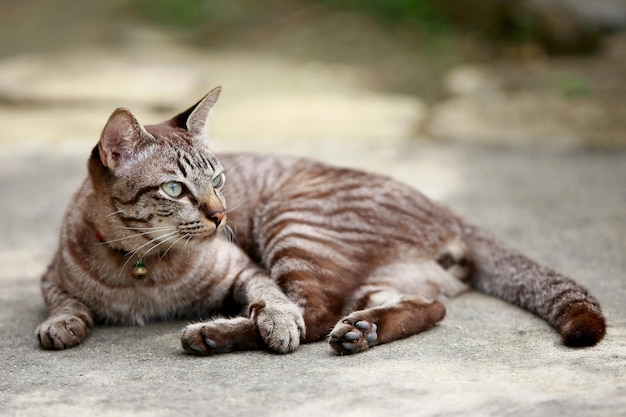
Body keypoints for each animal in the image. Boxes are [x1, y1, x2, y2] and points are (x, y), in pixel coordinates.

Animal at [35, 86, 604, 352]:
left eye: (217, 180)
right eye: (176, 189)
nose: (221, 216)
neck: (142, 268)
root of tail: (449, 209)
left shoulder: (247, 270)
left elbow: (274, 303)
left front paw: (272, 324)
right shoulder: (49, 278)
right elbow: (67, 303)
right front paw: (60, 326)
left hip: (294, 223)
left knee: (315, 314)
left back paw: (215, 335)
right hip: (370, 272)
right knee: (428, 308)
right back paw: (363, 332)